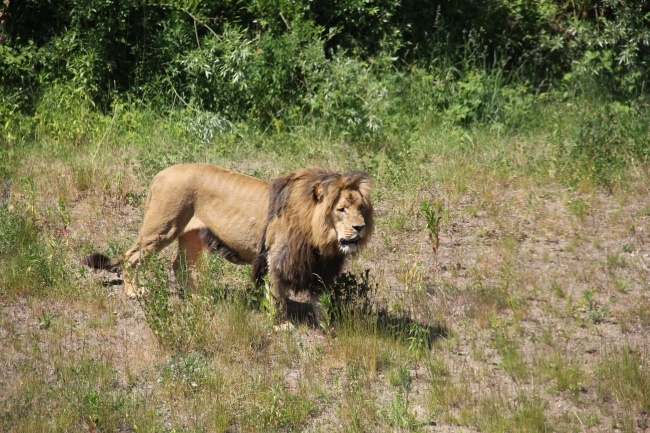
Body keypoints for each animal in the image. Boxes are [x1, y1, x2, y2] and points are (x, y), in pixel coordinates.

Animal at [83, 164, 372, 326]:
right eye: (341, 210)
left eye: (361, 208)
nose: (360, 228)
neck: (322, 240)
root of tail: (161, 173)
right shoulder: (276, 260)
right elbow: (278, 298)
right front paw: (282, 326)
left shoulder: (320, 269)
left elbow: (321, 302)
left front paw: (328, 328)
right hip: (163, 227)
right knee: (131, 256)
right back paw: (133, 292)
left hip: (192, 237)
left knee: (180, 266)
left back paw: (197, 298)